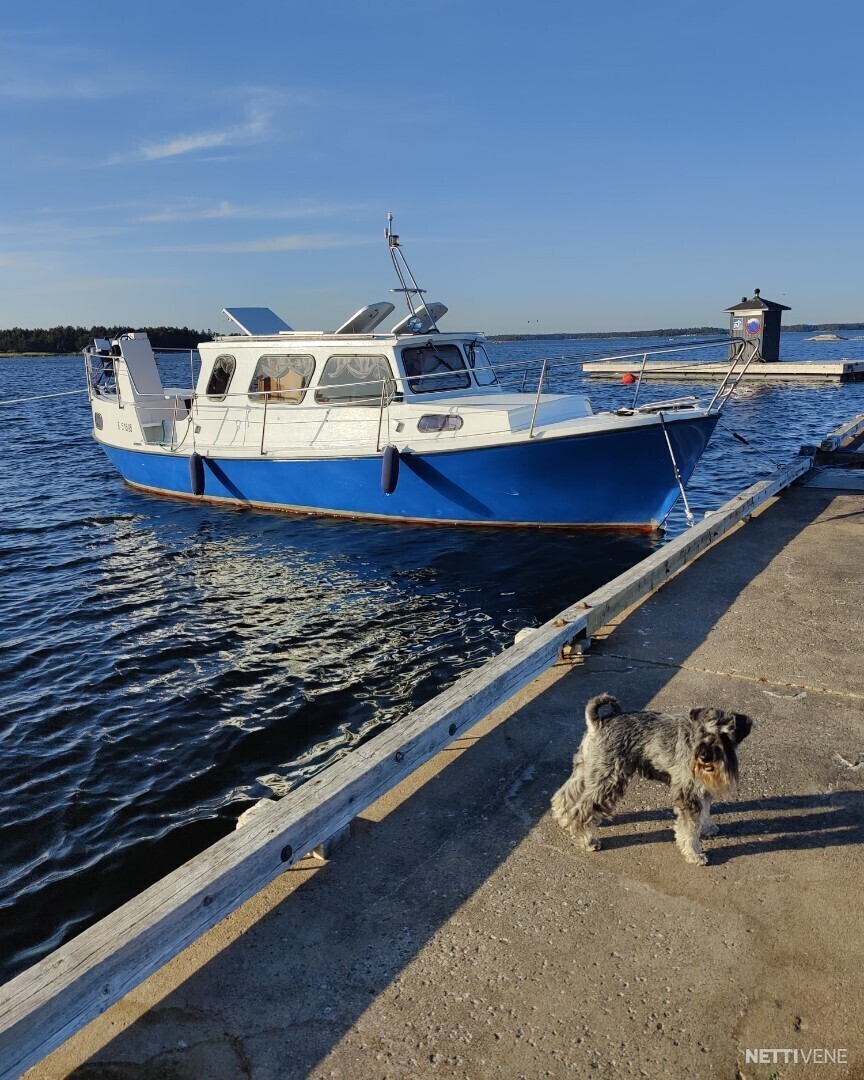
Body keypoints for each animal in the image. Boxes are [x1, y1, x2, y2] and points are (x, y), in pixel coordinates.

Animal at [552, 695, 747, 864]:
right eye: (702, 731)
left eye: (725, 736)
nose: (705, 757)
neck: (693, 741)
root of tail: (598, 722)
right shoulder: (689, 793)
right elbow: (689, 827)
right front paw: (694, 853)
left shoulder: (702, 791)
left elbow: (704, 811)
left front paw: (707, 828)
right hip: (607, 779)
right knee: (582, 810)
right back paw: (586, 840)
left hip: (586, 770)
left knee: (564, 794)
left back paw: (563, 818)